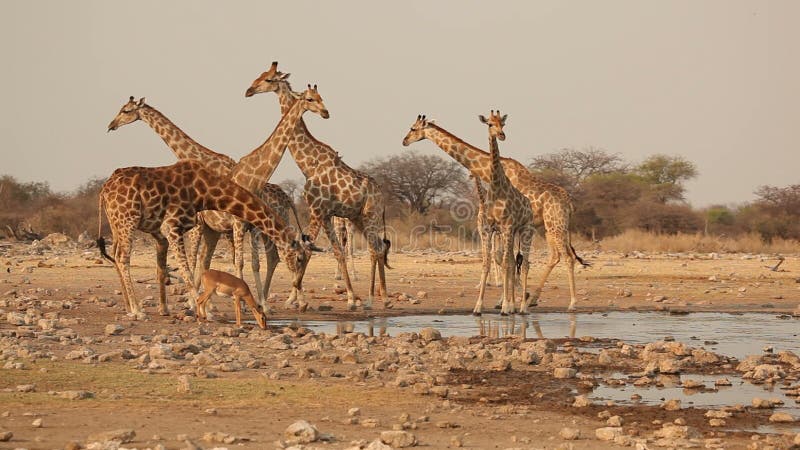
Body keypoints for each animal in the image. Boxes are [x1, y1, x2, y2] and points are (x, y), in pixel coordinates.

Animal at [97, 159, 312, 316]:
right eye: (300, 258)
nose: (298, 285)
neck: (206, 192)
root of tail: (104, 191)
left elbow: (198, 265)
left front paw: (203, 307)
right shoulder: (171, 225)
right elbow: (188, 268)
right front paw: (202, 309)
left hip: (117, 223)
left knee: (116, 255)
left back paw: (130, 308)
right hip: (128, 219)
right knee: (123, 257)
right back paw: (138, 310)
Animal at [108, 95, 302, 308]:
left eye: (126, 110)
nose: (111, 125)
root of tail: (287, 197)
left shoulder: (207, 225)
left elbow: (209, 260)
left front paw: (198, 301)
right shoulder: (218, 227)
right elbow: (210, 260)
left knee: (283, 256)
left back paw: (291, 300)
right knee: (276, 257)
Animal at [245, 62, 392, 310]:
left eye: (268, 79)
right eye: (261, 76)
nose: (249, 90)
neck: (309, 164)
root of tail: (382, 195)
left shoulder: (317, 211)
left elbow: (307, 251)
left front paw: (295, 296)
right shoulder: (325, 214)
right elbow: (335, 251)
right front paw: (350, 298)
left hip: (369, 215)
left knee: (375, 249)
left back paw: (373, 299)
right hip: (357, 217)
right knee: (378, 247)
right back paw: (382, 296)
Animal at [400, 114, 588, 312]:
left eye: (413, 128)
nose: (405, 141)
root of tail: (570, 203)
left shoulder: (505, 225)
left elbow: (504, 258)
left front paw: (507, 301)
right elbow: (506, 258)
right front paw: (508, 299)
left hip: (555, 225)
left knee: (568, 257)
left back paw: (572, 303)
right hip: (548, 228)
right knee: (555, 256)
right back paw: (533, 299)